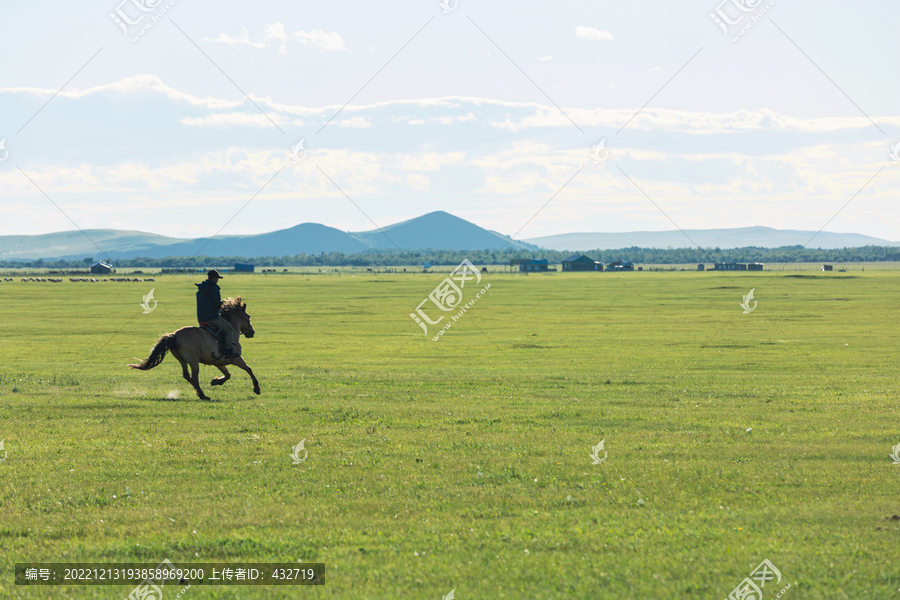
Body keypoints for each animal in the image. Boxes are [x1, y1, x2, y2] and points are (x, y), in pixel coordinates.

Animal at [128, 298, 260, 400]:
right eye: (248, 317)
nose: (252, 332)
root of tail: (175, 335)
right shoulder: (236, 359)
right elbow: (248, 369)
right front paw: (257, 388)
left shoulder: (219, 362)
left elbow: (228, 374)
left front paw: (216, 381)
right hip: (193, 360)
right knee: (194, 377)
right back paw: (203, 395)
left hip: (182, 359)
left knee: (186, 375)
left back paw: (198, 392)